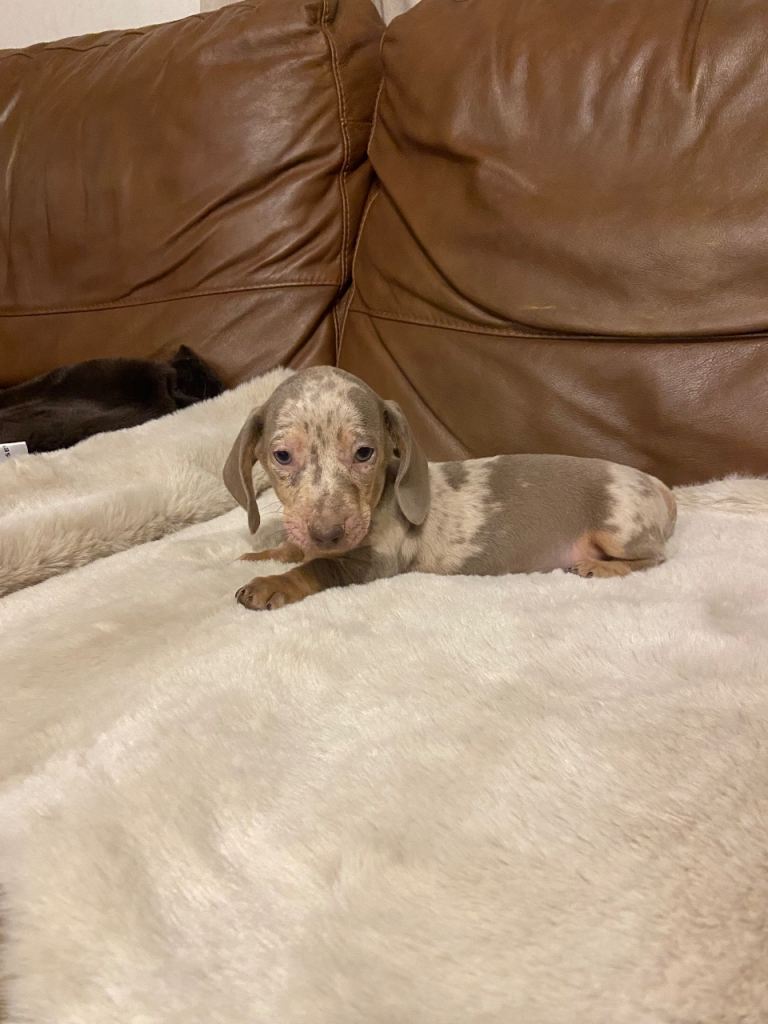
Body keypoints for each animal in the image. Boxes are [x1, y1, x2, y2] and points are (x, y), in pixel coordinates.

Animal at [224, 367, 677, 611]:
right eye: (282, 456)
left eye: (364, 453)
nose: (328, 534)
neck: (382, 496)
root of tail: (659, 487)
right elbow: (297, 550)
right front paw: (264, 554)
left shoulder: (375, 562)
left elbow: (317, 567)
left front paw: (272, 584)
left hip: (619, 529)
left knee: (656, 558)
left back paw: (602, 567)